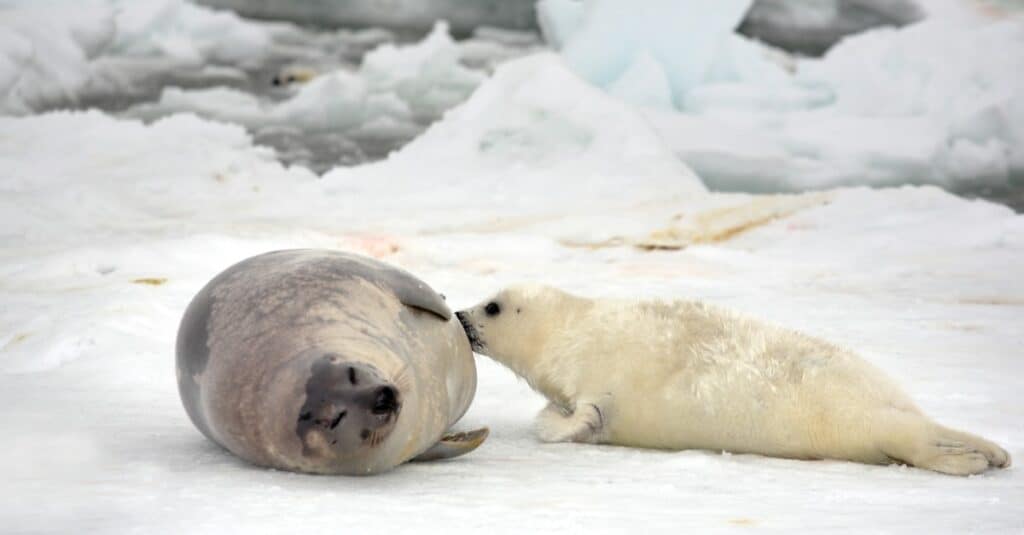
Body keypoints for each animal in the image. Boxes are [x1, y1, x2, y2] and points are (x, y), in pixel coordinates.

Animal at [174, 248, 485, 473]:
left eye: (351, 373)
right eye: (335, 419)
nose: (382, 397)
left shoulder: (357, 275)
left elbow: (419, 292)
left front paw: (447, 309)